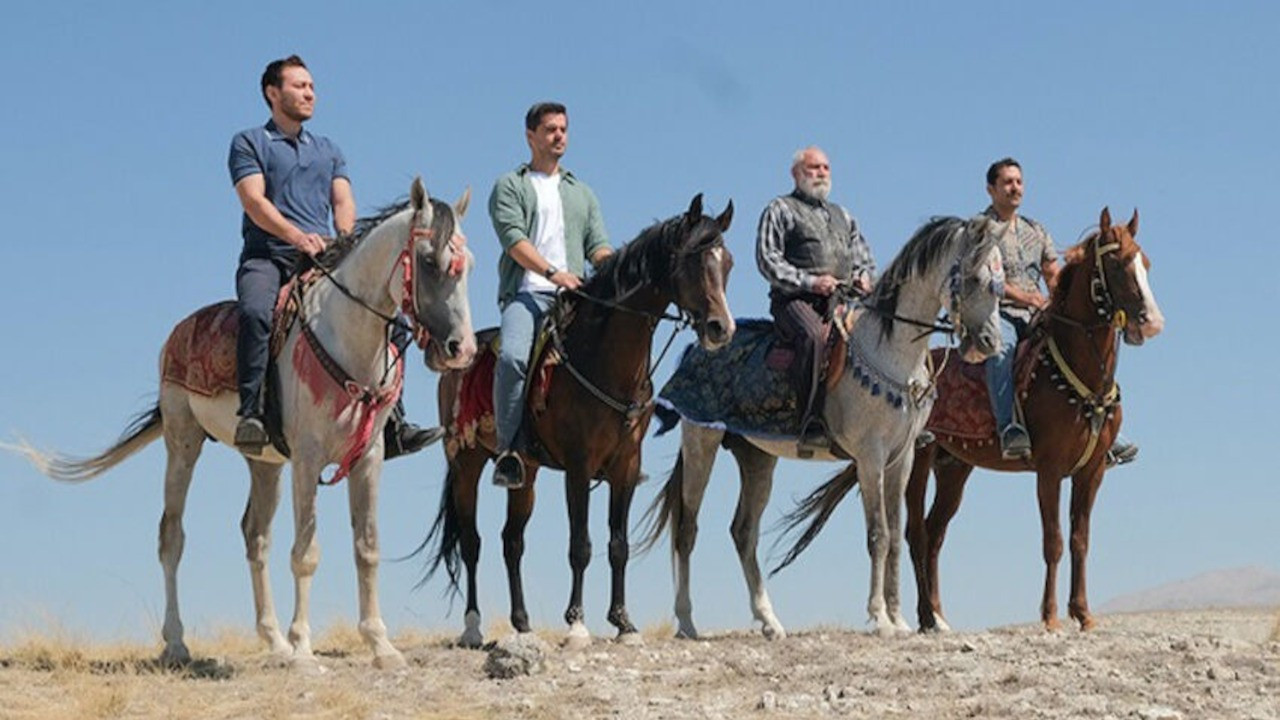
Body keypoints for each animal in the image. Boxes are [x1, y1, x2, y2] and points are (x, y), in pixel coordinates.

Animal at [7, 175, 478, 666]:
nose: (461, 349)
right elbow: (306, 552)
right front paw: (304, 649)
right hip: (183, 441)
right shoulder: (307, 460)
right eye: (428, 261)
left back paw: (272, 641)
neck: (345, 338)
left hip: (264, 464)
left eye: (468, 264)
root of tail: (178, 333)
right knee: (171, 536)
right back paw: (178, 643)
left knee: (255, 536)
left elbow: (366, 548)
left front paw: (380, 645)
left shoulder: (368, 457)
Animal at [422, 193, 732, 648]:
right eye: (692, 262)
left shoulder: (626, 467)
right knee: (471, 542)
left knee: (511, 541)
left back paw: (522, 623)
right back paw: (473, 627)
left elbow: (618, 544)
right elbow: (580, 545)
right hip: (465, 463)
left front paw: (623, 623)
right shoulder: (578, 466)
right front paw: (577, 623)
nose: (720, 328)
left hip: (526, 474)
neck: (603, 359)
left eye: (727, 264)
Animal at [640, 212, 1008, 632]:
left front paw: (898, 619)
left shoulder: (902, 459)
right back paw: (687, 623)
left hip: (757, 457)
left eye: (999, 284)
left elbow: (897, 536)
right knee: (687, 527)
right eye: (975, 278)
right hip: (701, 441)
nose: (989, 342)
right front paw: (879, 618)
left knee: (743, 531)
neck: (891, 351)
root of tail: (700, 346)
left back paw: (770, 621)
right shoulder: (870, 457)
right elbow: (879, 534)